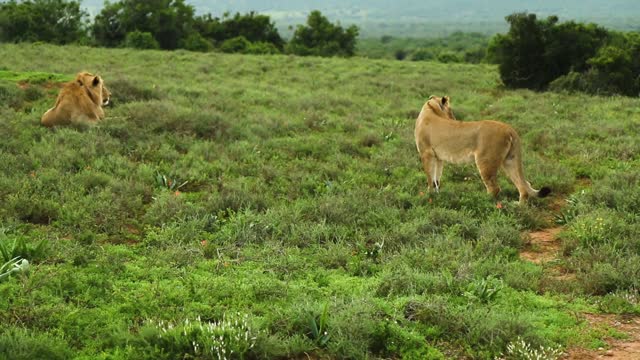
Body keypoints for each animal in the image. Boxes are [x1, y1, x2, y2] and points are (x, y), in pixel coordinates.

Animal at [416, 95, 552, 202]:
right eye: (451, 110)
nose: (454, 119)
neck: (430, 109)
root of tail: (509, 129)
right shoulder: (438, 158)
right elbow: (436, 179)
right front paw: (437, 195)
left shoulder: (426, 153)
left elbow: (430, 177)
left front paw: (429, 196)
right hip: (510, 160)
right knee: (524, 186)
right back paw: (518, 207)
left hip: (486, 161)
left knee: (494, 188)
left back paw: (482, 201)